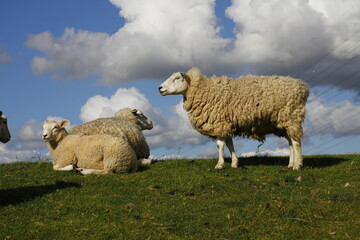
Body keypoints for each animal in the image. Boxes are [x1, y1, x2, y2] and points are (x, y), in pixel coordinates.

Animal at [158, 66, 310, 170]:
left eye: (177, 78)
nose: (160, 88)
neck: (202, 89)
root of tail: (303, 87)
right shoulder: (226, 123)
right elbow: (229, 144)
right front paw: (234, 163)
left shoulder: (219, 122)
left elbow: (220, 145)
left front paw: (219, 164)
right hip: (284, 122)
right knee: (291, 142)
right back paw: (291, 164)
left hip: (292, 117)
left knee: (296, 143)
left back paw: (297, 165)